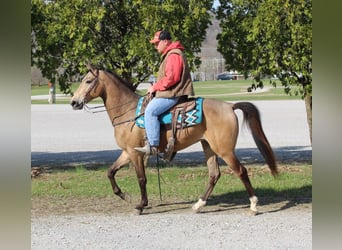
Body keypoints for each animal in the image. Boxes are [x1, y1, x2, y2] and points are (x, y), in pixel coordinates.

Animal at [71, 65, 276, 215]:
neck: (128, 112)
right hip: (208, 147)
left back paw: (253, 205)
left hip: (225, 150)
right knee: (214, 174)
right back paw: (198, 205)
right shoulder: (127, 152)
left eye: (88, 80)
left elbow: (141, 178)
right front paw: (124, 195)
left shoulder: (136, 154)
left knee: (241, 171)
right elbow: (110, 172)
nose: (74, 102)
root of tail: (230, 106)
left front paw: (141, 205)